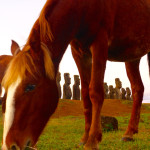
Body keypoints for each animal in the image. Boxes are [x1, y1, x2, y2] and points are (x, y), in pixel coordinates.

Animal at [1, 0, 150, 149]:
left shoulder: (100, 44)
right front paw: (85, 137)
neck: (82, 8)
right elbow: (85, 94)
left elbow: (95, 92)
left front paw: (93, 139)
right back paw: (129, 133)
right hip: (132, 55)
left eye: (30, 86)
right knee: (138, 89)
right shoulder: (78, 52)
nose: (9, 145)